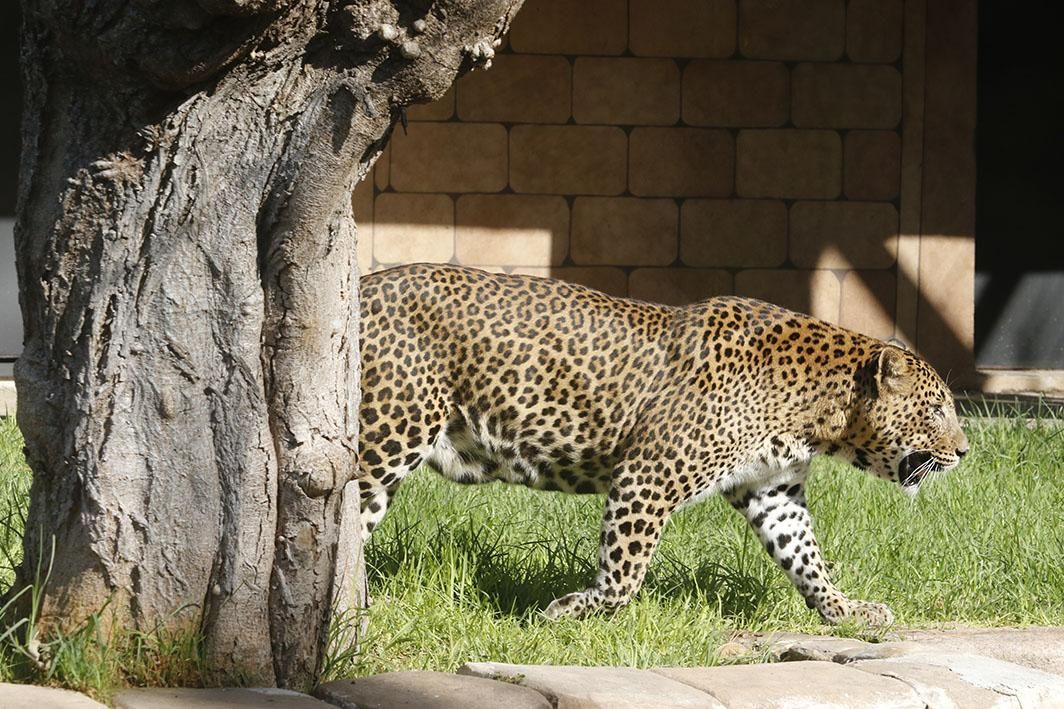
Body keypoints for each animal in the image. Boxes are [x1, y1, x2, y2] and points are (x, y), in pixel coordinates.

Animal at [359, 261, 974, 621]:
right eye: (937, 409)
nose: (966, 452)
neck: (819, 418)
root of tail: (362, 284)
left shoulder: (772, 489)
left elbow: (806, 557)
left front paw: (845, 612)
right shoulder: (646, 477)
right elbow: (625, 571)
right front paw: (575, 611)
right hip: (390, 432)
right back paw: (353, 608)